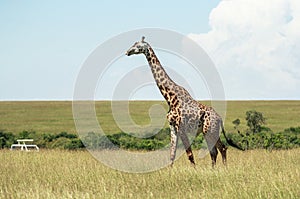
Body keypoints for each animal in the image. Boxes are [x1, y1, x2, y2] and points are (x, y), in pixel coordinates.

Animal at [125, 36, 243, 167]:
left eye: (137, 45)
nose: (127, 52)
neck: (170, 97)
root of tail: (220, 119)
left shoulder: (181, 127)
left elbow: (189, 154)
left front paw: (194, 170)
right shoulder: (172, 127)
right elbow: (172, 154)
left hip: (209, 130)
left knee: (219, 149)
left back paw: (222, 169)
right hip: (210, 131)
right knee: (217, 150)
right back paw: (216, 169)